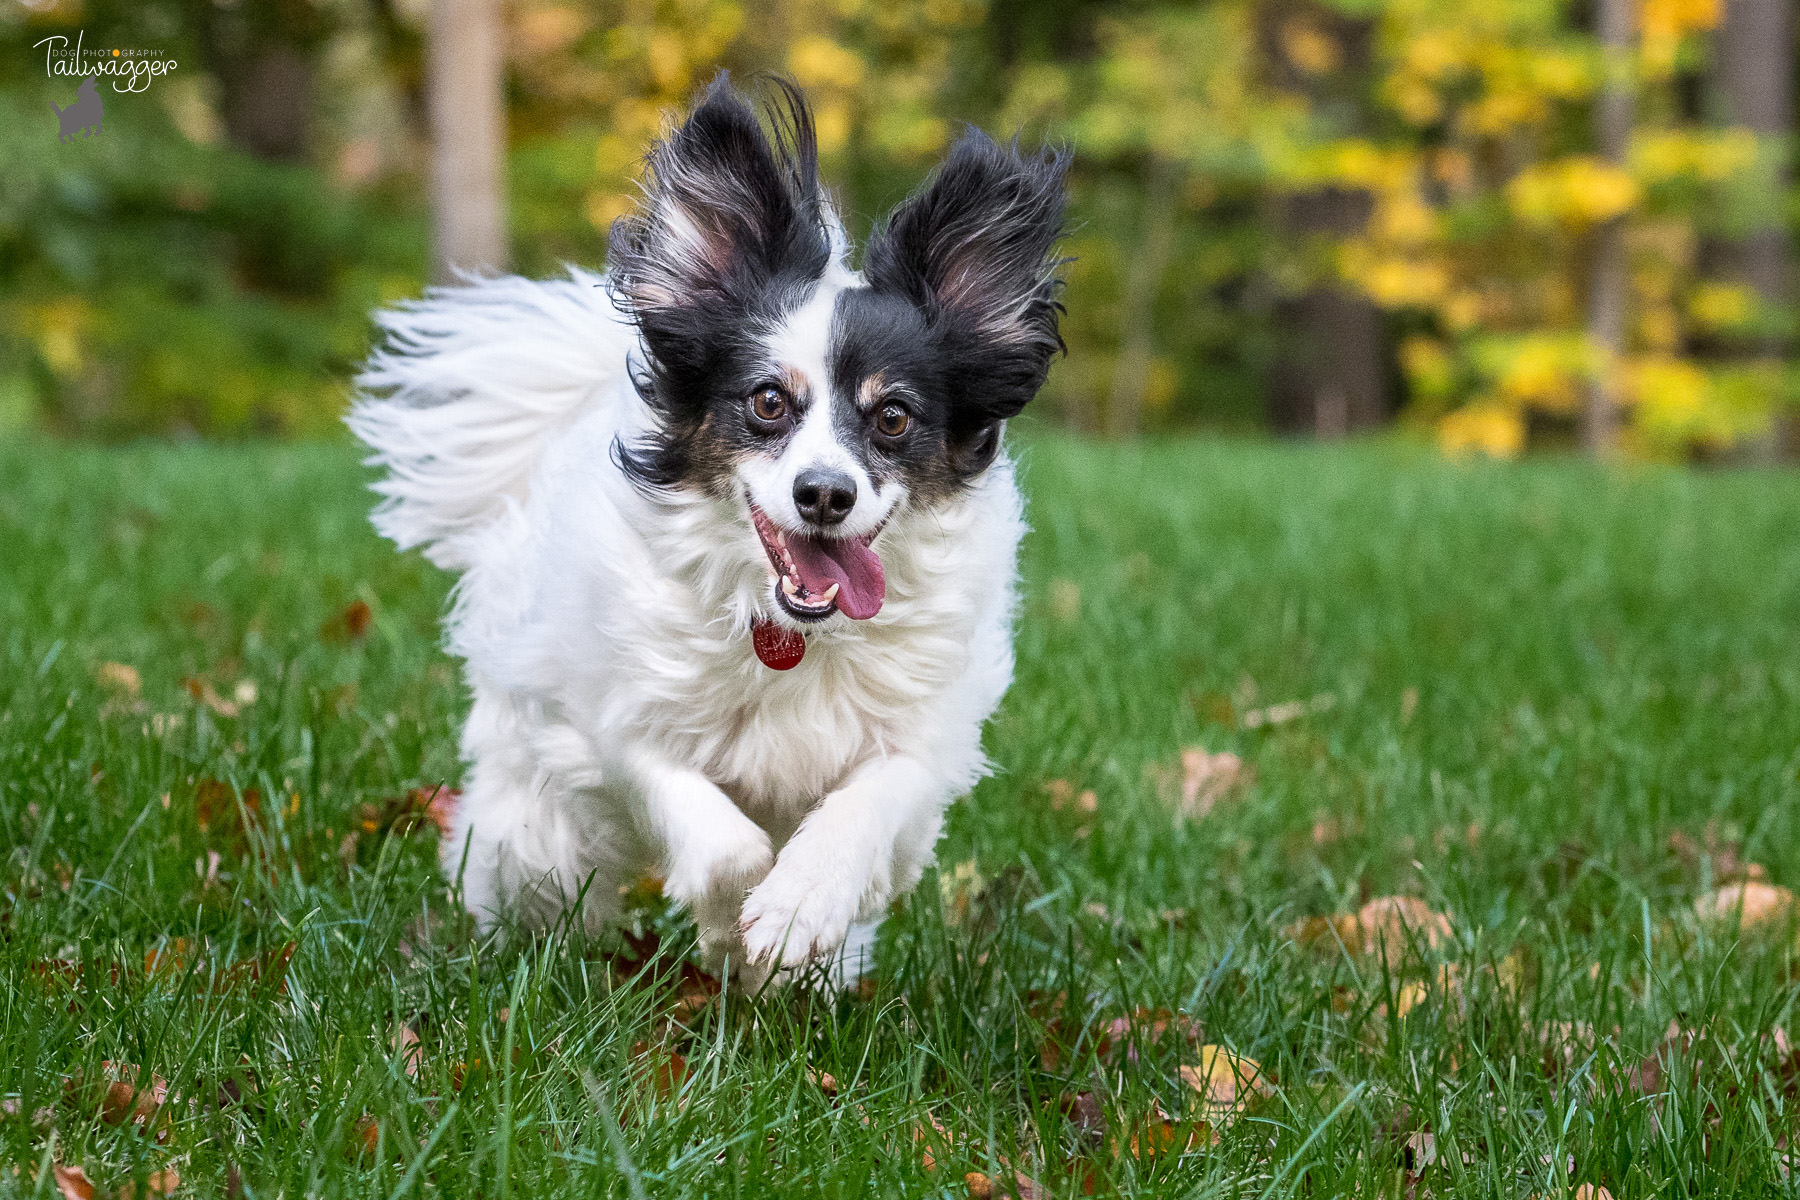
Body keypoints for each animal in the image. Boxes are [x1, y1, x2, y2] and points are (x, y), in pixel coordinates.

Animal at [347, 75, 1065, 985]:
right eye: (768, 402)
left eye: (894, 417)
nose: (824, 494)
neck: (789, 630)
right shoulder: (619, 724)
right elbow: (719, 840)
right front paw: (734, 929)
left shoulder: (922, 741)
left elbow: (867, 802)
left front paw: (797, 912)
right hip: (537, 834)